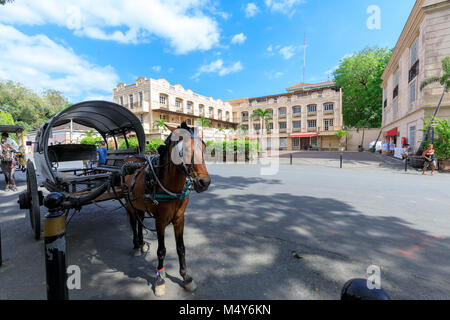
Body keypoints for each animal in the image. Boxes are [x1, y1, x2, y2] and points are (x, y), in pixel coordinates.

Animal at [120, 121, 210, 296]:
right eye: (185, 149)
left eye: (203, 147)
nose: (204, 182)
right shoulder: (160, 221)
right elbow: (161, 250)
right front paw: (160, 280)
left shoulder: (180, 218)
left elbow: (181, 248)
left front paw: (186, 277)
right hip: (129, 204)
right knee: (133, 223)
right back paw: (136, 245)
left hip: (140, 206)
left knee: (140, 221)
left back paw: (141, 243)